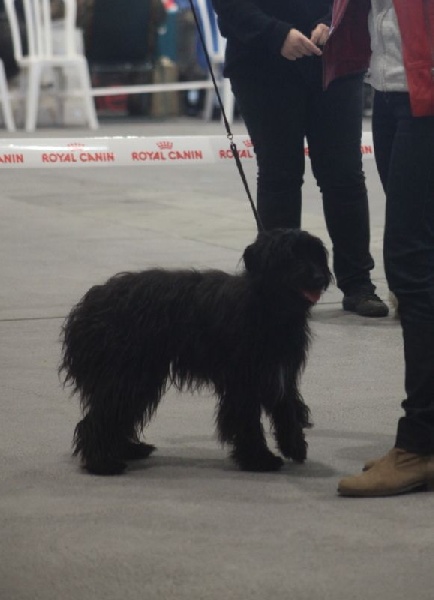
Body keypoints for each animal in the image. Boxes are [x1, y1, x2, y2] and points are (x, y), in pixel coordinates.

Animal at [60, 228, 331, 475]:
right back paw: (103, 463)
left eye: (316, 254)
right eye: (291, 256)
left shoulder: (279, 372)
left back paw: (128, 449)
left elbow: (286, 409)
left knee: (118, 414)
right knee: (99, 418)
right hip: (126, 373)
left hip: (140, 376)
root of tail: (88, 304)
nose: (320, 277)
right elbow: (246, 420)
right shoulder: (243, 381)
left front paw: (294, 446)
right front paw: (259, 459)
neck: (268, 307)